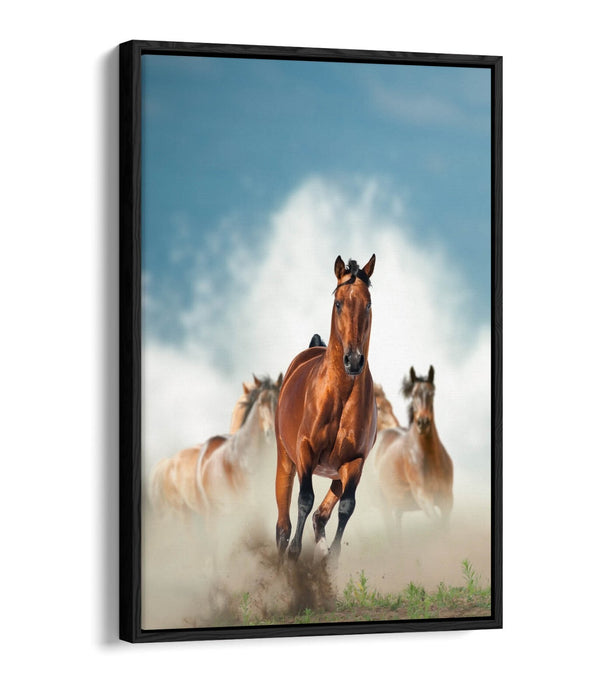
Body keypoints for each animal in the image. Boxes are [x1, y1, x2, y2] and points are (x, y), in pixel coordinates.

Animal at [275, 254, 377, 563]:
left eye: (368, 303)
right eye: (339, 303)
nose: (353, 360)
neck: (339, 396)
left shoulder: (354, 461)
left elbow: (346, 507)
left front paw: (330, 558)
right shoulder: (305, 451)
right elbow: (304, 499)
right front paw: (295, 553)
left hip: (336, 472)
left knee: (323, 514)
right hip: (286, 459)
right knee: (283, 522)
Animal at [373, 365, 453, 531]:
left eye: (432, 393)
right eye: (413, 394)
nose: (423, 422)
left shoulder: (447, 500)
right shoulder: (424, 498)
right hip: (385, 507)